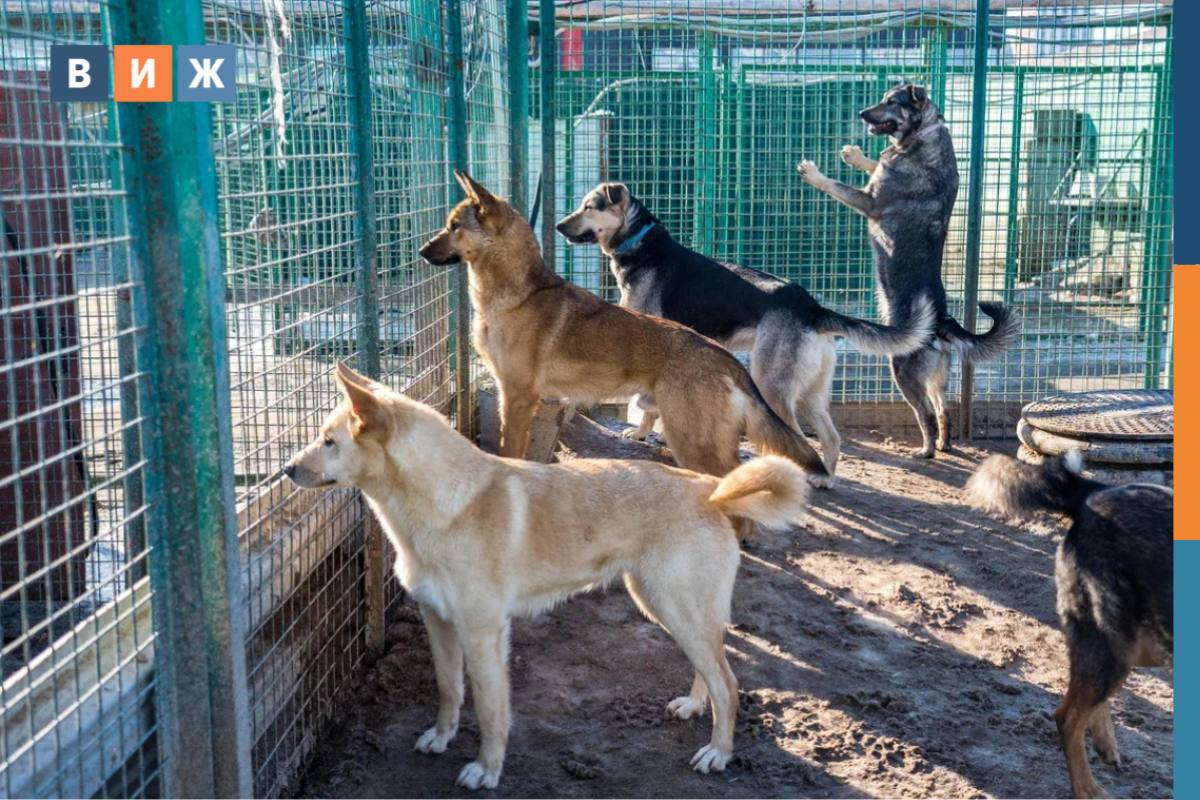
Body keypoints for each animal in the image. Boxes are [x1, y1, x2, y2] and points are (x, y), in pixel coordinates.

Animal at [282, 367, 811, 791]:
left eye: (329, 441)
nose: (286, 469)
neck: (448, 503)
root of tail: (711, 489)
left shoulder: (484, 634)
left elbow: (491, 711)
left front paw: (486, 770)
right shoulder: (438, 622)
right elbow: (449, 690)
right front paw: (442, 736)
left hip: (676, 607)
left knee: (729, 683)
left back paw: (719, 751)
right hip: (669, 607)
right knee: (714, 669)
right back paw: (695, 707)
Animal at [417, 172, 830, 520]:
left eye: (454, 227)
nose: (420, 251)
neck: (519, 293)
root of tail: (724, 357)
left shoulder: (518, 398)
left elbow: (510, 452)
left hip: (693, 439)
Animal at [796, 82, 1022, 455]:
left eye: (892, 102)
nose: (862, 114)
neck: (923, 135)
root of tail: (942, 321)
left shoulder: (869, 201)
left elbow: (837, 186)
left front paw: (815, 174)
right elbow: (874, 163)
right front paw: (856, 155)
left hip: (902, 369)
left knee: (926, 414)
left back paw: (927, 450)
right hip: (936, 379)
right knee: (944, 411)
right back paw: (943, 444)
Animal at [964, 453, 1171, 796]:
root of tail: (1091, 492)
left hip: (1141, 643)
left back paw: (1105, 744)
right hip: (1117, 642)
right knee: (1068, 719)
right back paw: (1087, 790)